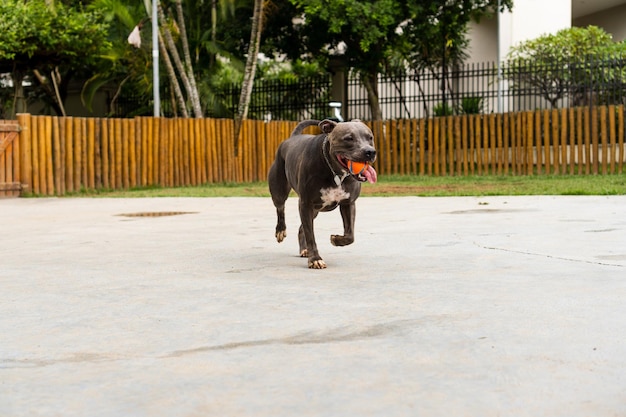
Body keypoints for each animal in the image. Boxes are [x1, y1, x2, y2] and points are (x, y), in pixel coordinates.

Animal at [266, 118, 376, 268]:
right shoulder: (305, 204)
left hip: (315, 210)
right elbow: (311, 235)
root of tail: (293, 137)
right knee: (280, 208)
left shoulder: (348, 203)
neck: (335, 171)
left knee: (301, 228)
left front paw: (336, 239)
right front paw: (315, 259)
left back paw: (304, 249)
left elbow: (350, 235)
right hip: (279, 191)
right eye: (348, 138)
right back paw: (281, 230)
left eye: (370, 137)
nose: (370, 152)